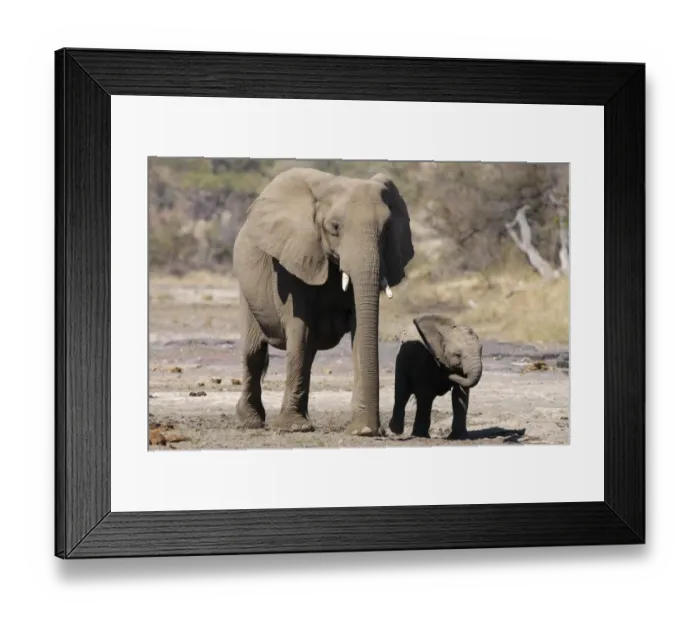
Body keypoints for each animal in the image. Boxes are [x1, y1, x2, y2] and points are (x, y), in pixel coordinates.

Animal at [231, 166, 414, 436]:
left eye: (388, 228)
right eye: (335, 227)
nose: (381, 429)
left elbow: (360, 331)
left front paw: (361, 430)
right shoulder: (293, 260)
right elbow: (299, 328)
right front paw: (293, 428)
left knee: (306, 354)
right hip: (246, 286)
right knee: (254, 352)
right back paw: (250, 422)